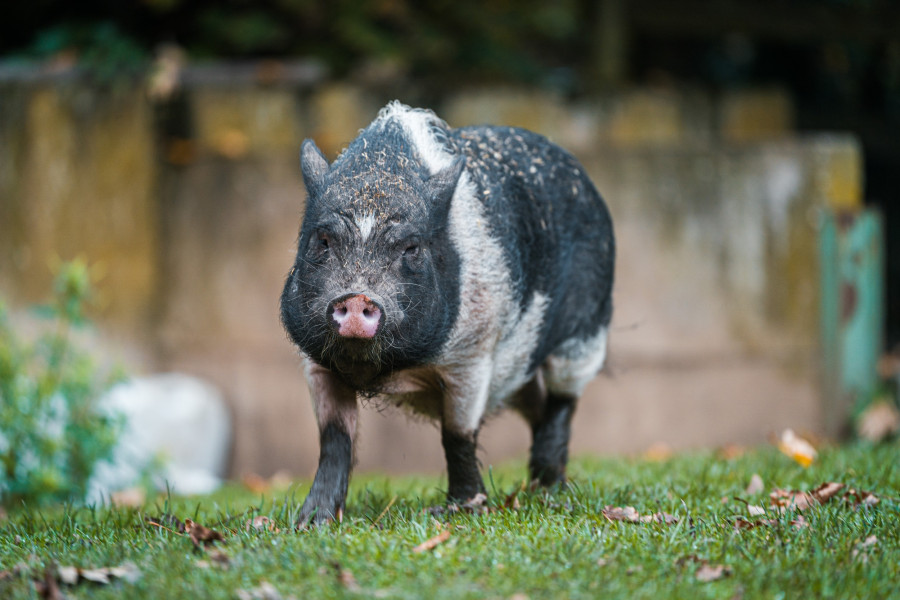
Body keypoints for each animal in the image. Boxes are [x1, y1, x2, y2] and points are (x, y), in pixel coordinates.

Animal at [281, 101, 614, 524]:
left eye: (411, 248)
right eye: (322, 240)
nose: (356, 297)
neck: (389, 370)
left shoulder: (473, 354)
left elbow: (457, 434)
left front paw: (459, 509)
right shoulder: (315, 361)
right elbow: (334, 437)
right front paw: (311, 522)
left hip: (584, 335)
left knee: (562, 404)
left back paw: (549, 490)